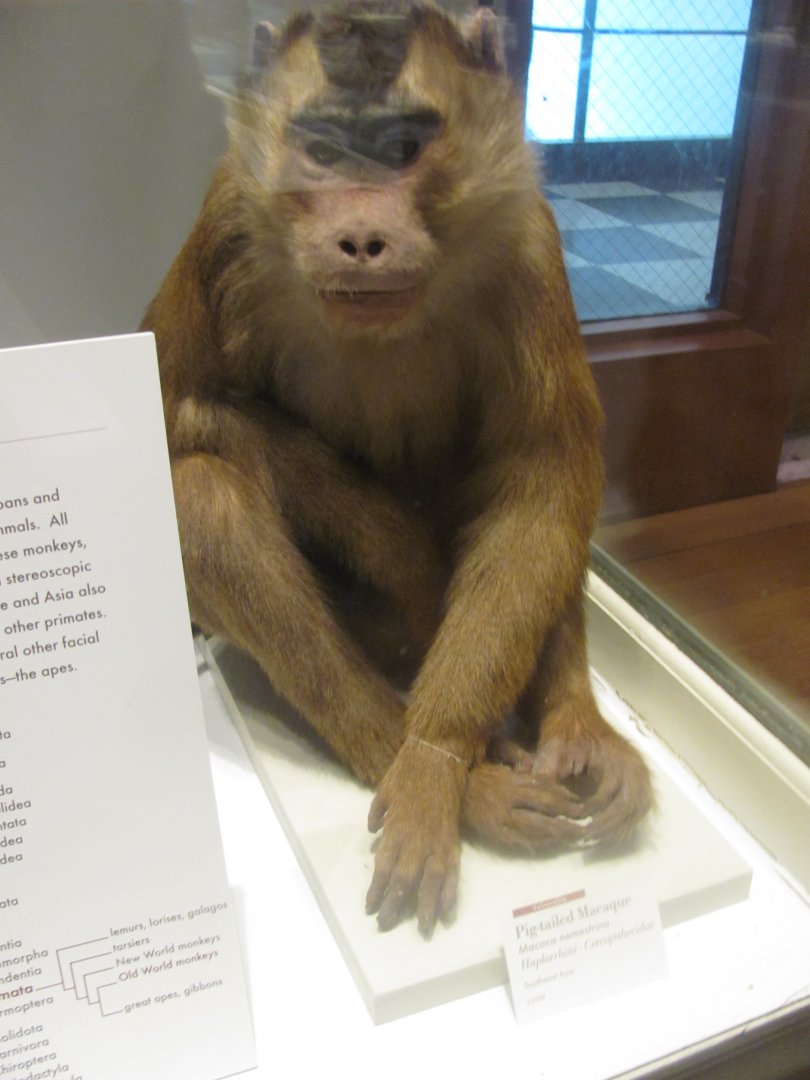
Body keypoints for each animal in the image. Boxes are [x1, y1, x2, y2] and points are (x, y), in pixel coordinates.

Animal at [141, 0, 653, 937]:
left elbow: (538, 479)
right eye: (323, 148)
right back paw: (420, 756)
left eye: (404, 145)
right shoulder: (230, 214)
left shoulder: (528, 238)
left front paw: (440, 750)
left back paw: (568, 725)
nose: (362, 236)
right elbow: (172, 407)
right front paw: (399, 553)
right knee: (200, 490)